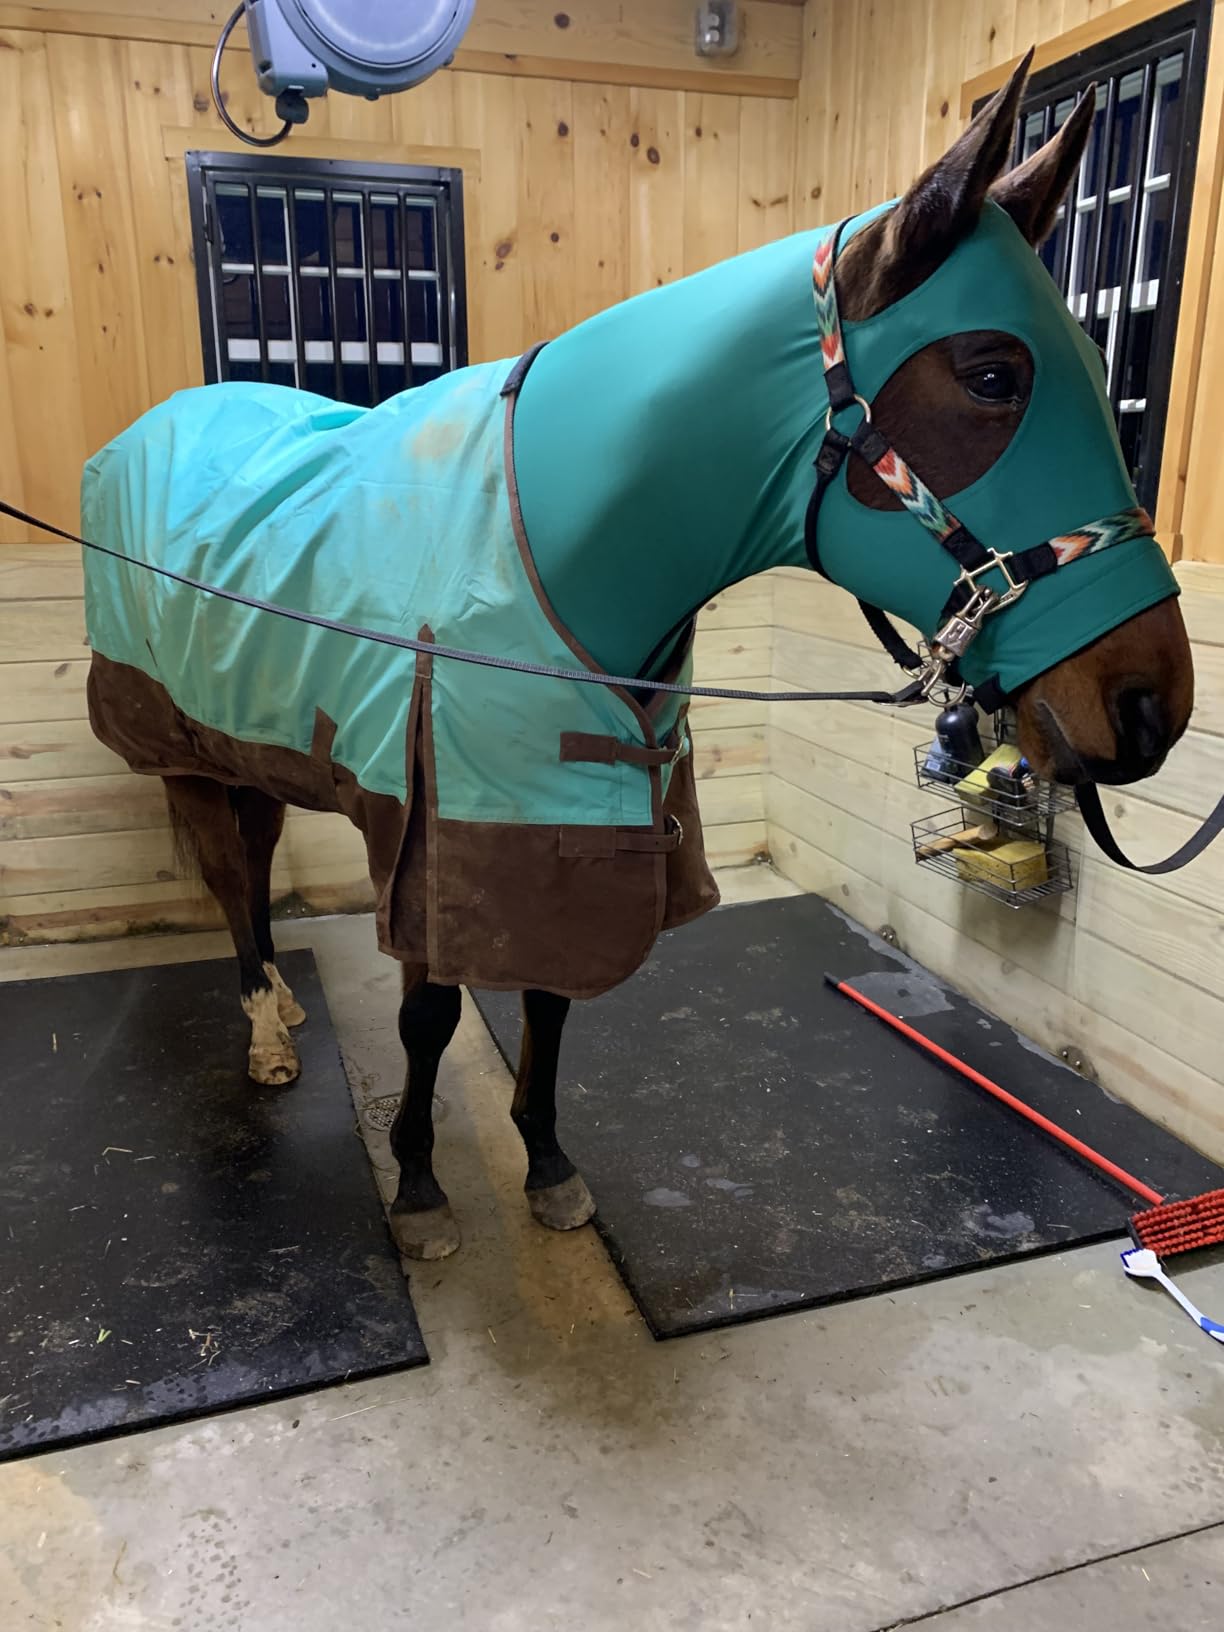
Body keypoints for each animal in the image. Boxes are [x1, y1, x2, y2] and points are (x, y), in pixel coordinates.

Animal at [79, 51, 1193, 1264]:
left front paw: (547, 1166)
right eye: (994, 375)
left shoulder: (568, 828)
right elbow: (429, 1013)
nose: (1154, 706)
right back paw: (269, 1037)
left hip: (245, 743)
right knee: (233, 880)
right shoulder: (428, 831)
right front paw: (419, 1188)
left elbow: (550, 998)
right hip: (181, 754)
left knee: (254, 849)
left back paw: (280, 1007)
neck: (546, 550)